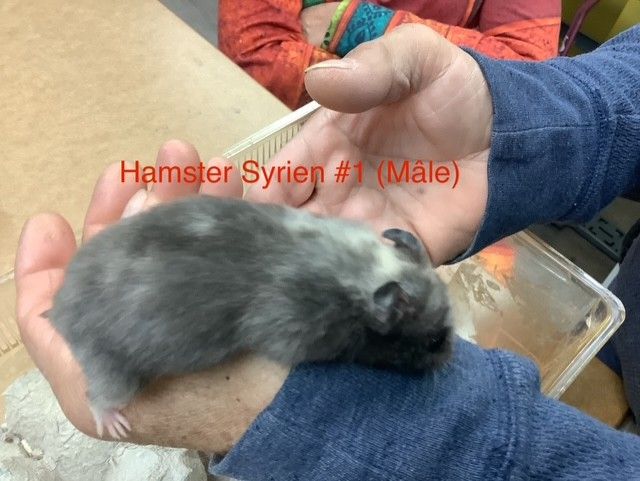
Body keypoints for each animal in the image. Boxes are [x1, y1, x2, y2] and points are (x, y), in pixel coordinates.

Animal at [48, 195, 453, 439]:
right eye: (435, 340)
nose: (450, 360)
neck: (362, 271)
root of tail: (58, 308)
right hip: (113, 367)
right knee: (97, 394)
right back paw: (113, 424)